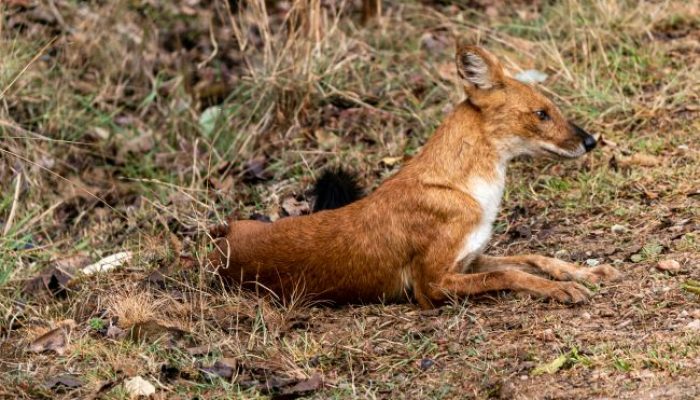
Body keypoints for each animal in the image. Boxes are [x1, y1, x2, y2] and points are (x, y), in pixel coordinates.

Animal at [211, 43, 620, 310]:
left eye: (552, 109)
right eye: (541, 114)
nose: (591, 141)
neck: (467, 189)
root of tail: (222, 240)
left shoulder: (469, 258)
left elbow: (533, 258)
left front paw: (584, 273)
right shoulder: (431, 285)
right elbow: (508, 276)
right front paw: (559, 290)